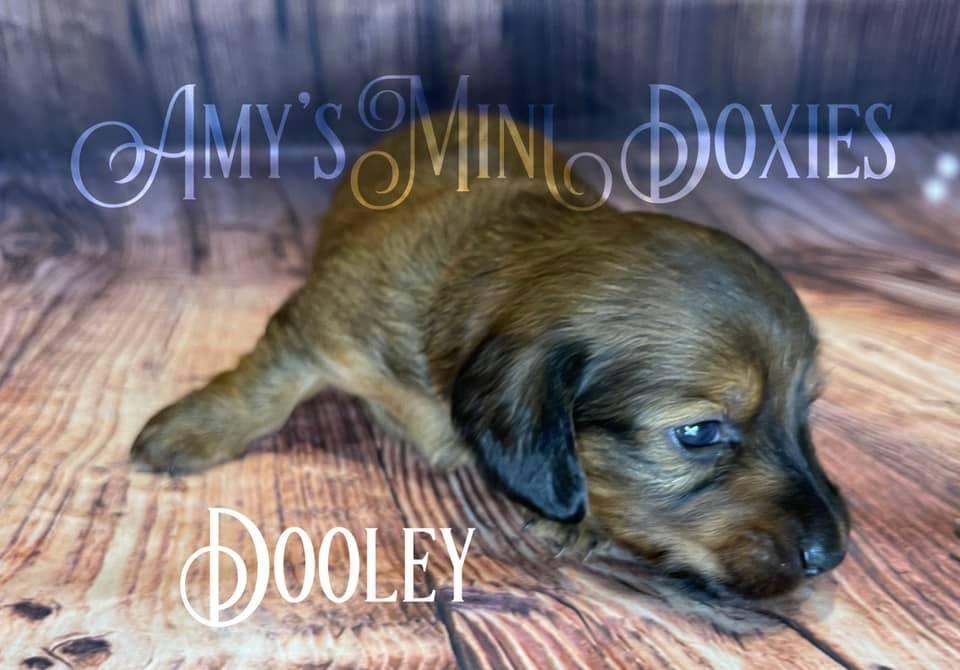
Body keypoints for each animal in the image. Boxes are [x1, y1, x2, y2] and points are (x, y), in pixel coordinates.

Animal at [132, 112, 849, 598]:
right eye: (699, 433)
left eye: (805, 411)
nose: (834, 554)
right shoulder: (319, 323)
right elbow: (265, 386)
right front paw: (190, 429)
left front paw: (580, 523)